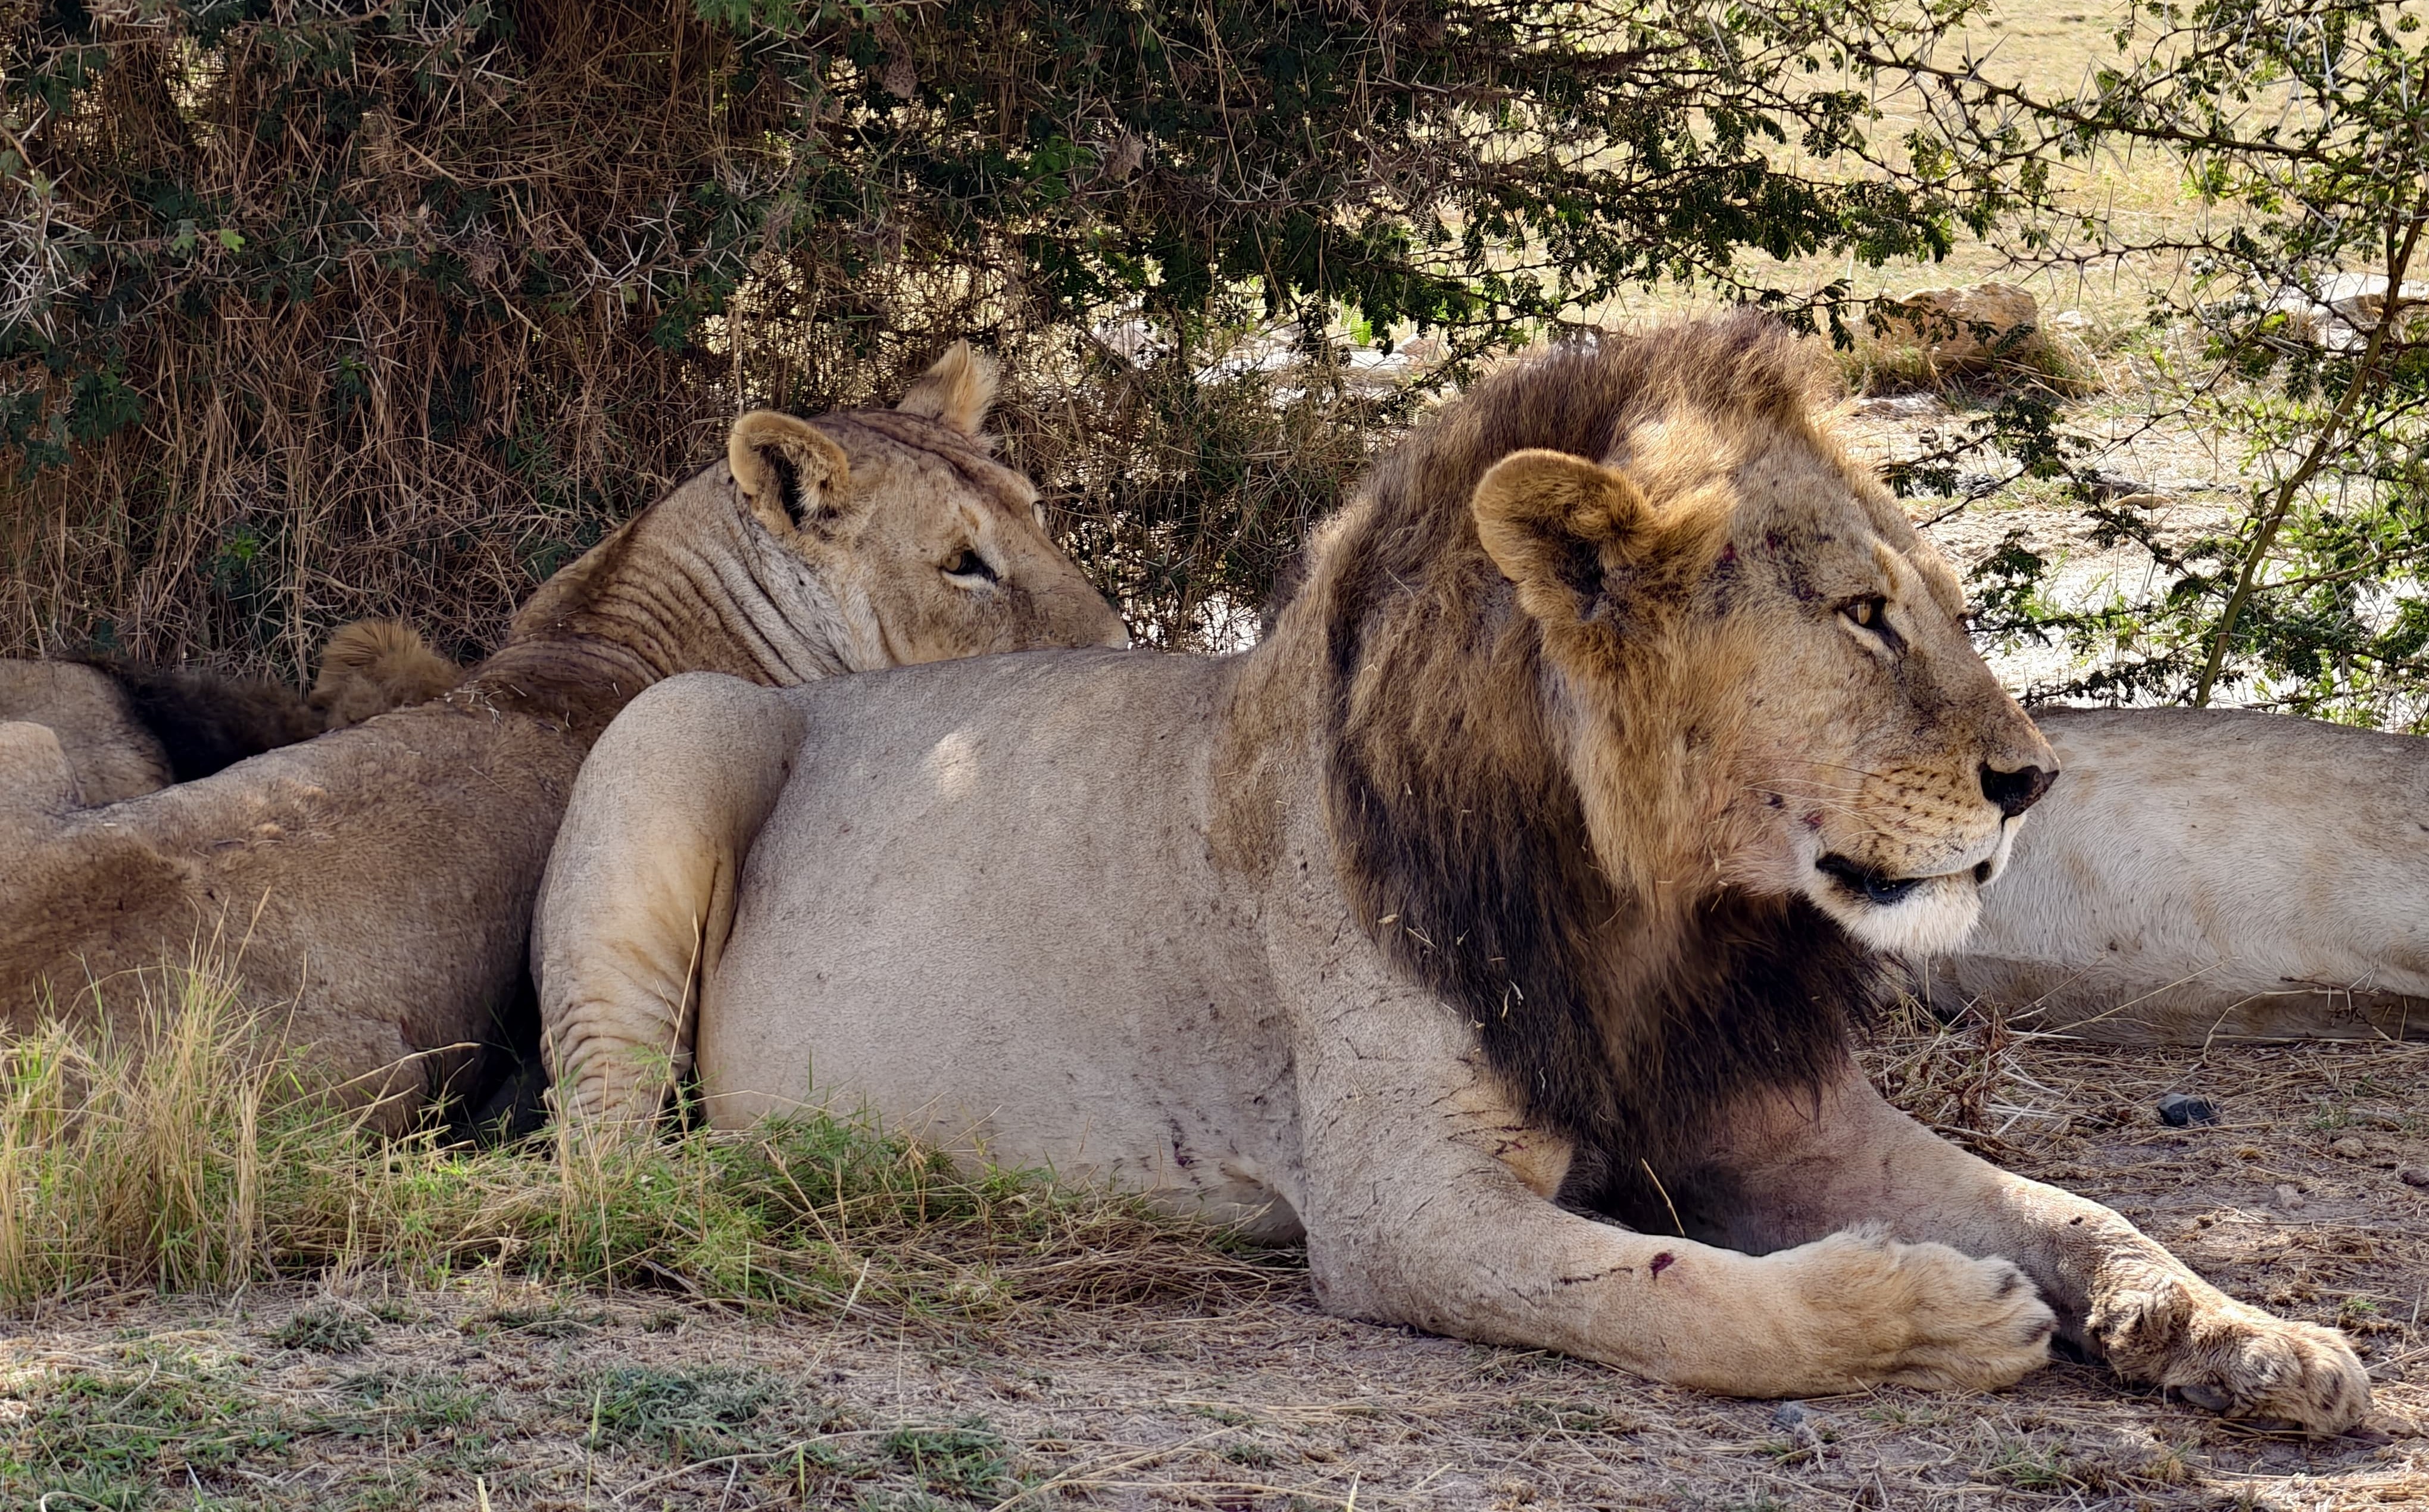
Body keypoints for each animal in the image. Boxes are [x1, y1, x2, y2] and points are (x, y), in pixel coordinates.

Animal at [533, 315, 2367, 1427]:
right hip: (682, 733)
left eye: (1947, 604)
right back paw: (762, 1176)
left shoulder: (1788, 1121)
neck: (1652, 909)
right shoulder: (1393, 1207)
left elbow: (2078, 1204)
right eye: (1860, 613)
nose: (2031, 778)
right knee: (602, 1149)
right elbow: (1683, 1302)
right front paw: (1931, 1318)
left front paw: (2248, 1332)